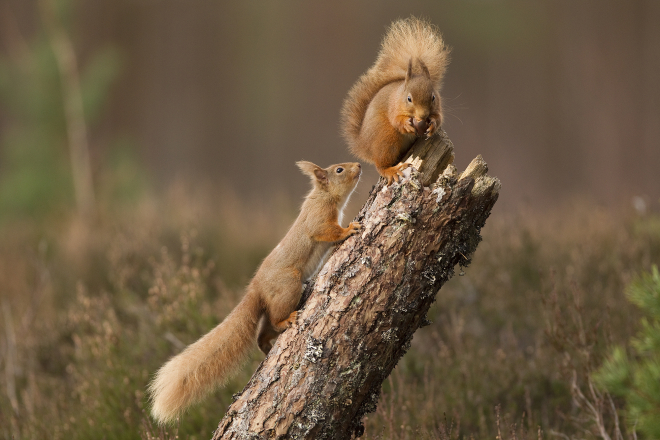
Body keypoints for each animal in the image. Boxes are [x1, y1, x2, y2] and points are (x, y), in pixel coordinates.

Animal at [149, 160, 360, 424]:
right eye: (339, 169)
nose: (359, 165)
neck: (324, 196)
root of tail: (256, 289)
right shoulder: (318, 220)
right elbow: (329, 232)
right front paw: (350, 229)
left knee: (262, 333)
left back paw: (268, 345)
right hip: (288, 287)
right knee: (275, 320)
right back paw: (286, 321)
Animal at [340, 16, 448, 185]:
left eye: (433, 97)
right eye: (409, 98)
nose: (423, 116)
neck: (400, 94)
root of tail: (364, 145)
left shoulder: (437, 108)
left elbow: (438, 117)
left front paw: (432, 126)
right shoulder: (393, 107)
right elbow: (396, 120)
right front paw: (407, 125)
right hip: (387, 138)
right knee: (381, 165)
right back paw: (391, 170)